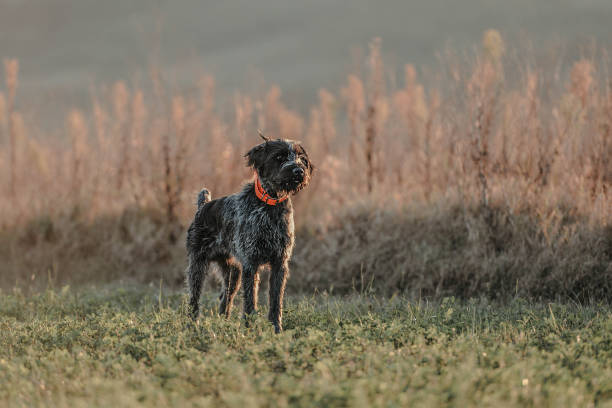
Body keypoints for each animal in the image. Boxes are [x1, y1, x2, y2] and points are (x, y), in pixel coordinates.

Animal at [185, 132, 310, 334]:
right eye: (279, 157)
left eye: (302, 158)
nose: (298, 171)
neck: (270, 206)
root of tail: (203, 206)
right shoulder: (251, 263)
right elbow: (251, 301)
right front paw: (249, 329)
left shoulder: (279, 264)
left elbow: (276, 301)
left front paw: (277, 329)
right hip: (198, 265)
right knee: (194, 299)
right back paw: (192, 325)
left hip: (233, 272)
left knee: (225, 296)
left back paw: (224, 322)